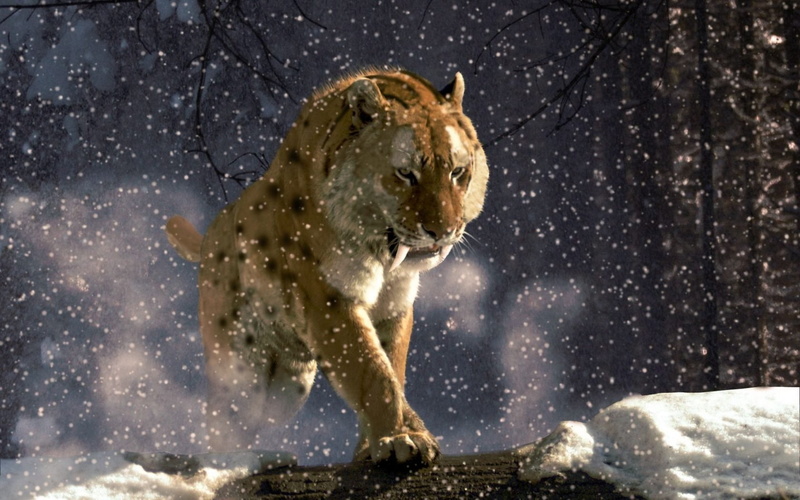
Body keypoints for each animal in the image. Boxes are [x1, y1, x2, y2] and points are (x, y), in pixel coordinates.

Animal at [165, 68, 488, 464]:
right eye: (405, 173)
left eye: (458, 172)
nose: (442, 231)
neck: (384, 255)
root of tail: (214, 230)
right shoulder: (330, 300)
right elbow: (373, 373)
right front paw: (398, 439)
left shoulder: (394, 308)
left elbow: (391, 368)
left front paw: (381, 443)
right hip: (242, 373)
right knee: (226, 420)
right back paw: (229, 461)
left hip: (288, 386)